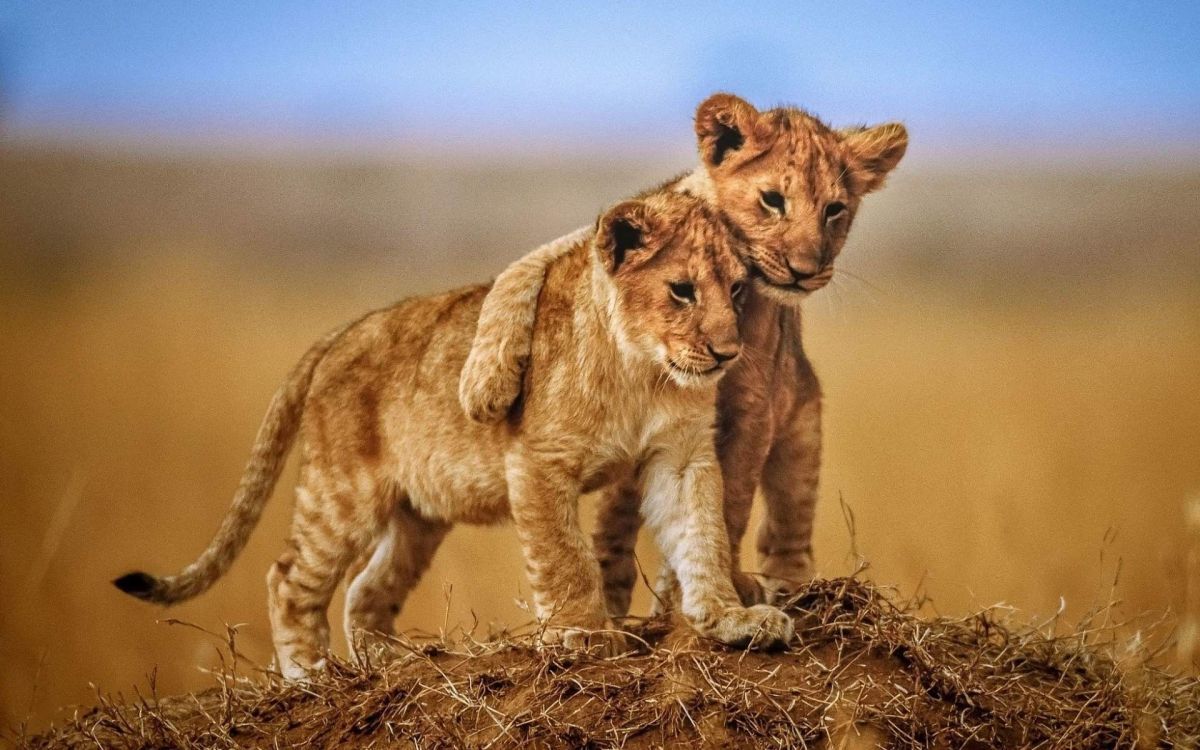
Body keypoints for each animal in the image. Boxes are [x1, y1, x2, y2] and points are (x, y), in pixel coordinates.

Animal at [113, 191, 794, 679]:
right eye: (681, 290)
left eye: (737, 289)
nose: (728, 352)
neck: (642, 371)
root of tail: (342, 332)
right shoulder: (538, 461)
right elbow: (566, 558)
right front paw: (583, 634)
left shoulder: (680, 456)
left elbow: (702, 534)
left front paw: (731, 618)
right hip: (342, 493)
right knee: (289, 580)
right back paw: (310, 677)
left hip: (418, 515)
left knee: (365, 590)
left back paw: (393, 665)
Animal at [458, 93, 908, 615]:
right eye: (773, 200)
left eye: (835, 210)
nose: (805, 270)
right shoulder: (603, 240)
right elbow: (522, 270)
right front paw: (485, 385)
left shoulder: (754, 407)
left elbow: (730, 502)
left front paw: (718, 588)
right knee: (614, 521)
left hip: (801, 429)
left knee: (786, 529)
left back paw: (788, 590)